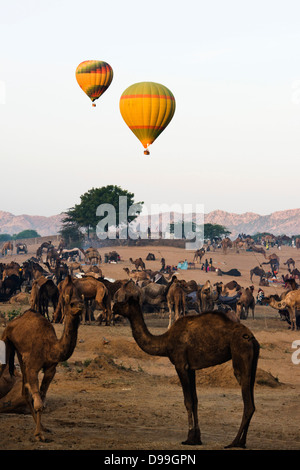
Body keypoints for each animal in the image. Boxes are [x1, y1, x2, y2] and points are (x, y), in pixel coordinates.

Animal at [0, 276, 84, 440]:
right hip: (6, 341)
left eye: (81, 301)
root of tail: (14, 322)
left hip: (20, 355)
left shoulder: (51, 369)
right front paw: (39, 435)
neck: (50, 347)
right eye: (72, 303)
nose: (80, 308)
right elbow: (38, 402)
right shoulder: (33, 367)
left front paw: (42, 429)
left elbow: (42, 399)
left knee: (25, 392)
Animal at [113, 298, 260, 448]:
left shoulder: (180, 365)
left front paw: (189, 438)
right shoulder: (191, 368)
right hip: (253, 361)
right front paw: (197, 438)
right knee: (252, 400)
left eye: (124, 302)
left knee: (247, 401)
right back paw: (242, 442)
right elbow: (195, 400)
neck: (165, 341)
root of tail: (251, 337)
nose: (114, 307)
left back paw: (234, 442)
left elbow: (188, 401)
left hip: (240, 353)